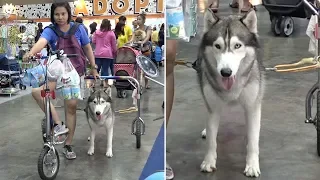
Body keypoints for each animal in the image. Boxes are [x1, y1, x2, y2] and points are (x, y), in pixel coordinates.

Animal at [198, 8, 264, 177]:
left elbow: (253, 141)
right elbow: (211, 140)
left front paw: (252, 165)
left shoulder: (252, 107)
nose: (226, 72)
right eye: (217, 46)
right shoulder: (213, 107)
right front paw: (209, 161)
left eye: (237, 45)